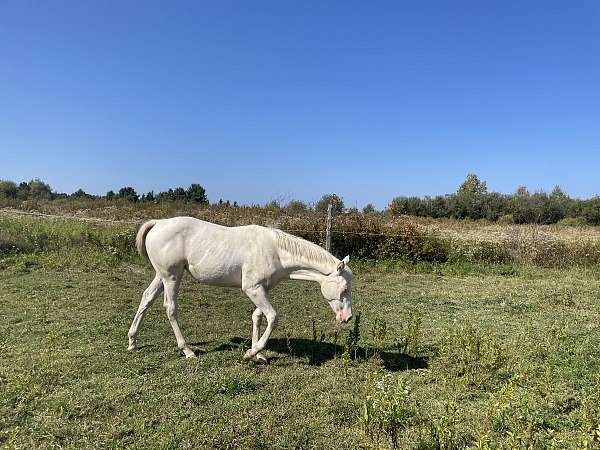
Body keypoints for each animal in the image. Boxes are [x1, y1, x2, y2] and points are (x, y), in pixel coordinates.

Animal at [127, 215, 352, 362]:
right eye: (344, 289)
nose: (347, 318)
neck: (276, 251)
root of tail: (159, 223)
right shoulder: (252, 289)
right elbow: (273, 317)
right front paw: (251, 353)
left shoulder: (262, 289)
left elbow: (258, 317)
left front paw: (259, 355)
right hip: (172, 277)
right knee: (170, 308)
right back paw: (187, 350)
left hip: (162, 276)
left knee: (146, 299)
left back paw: (132, 341)